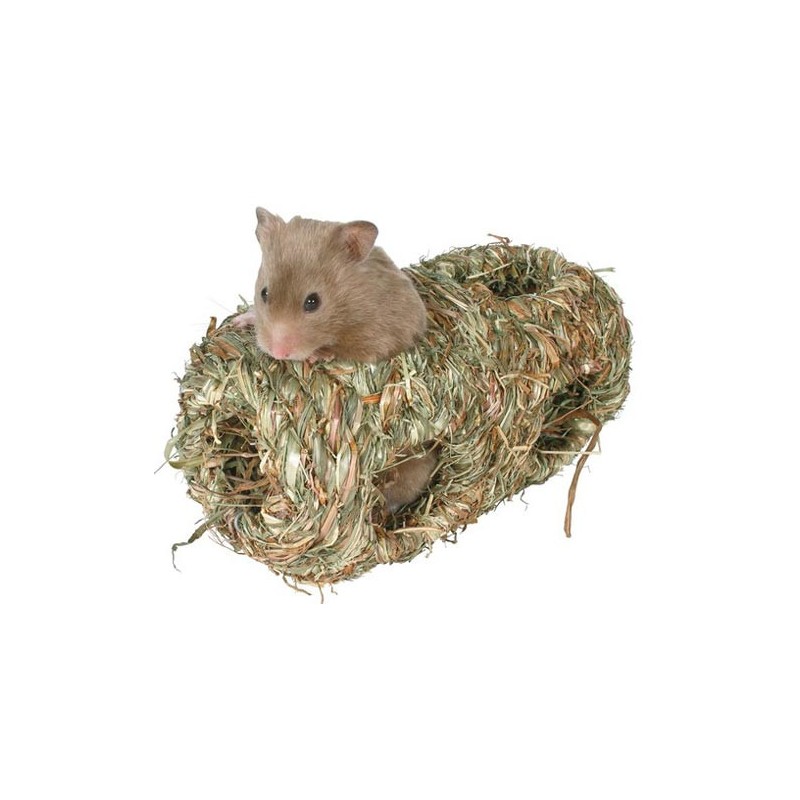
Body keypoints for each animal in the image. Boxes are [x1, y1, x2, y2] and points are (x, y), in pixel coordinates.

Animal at [233, 208, 435, 513]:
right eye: (264, 293)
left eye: (313, 301)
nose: (278, 352)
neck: (345, 308)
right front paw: (241, 320)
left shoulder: (381, 334)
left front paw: (319, 354)